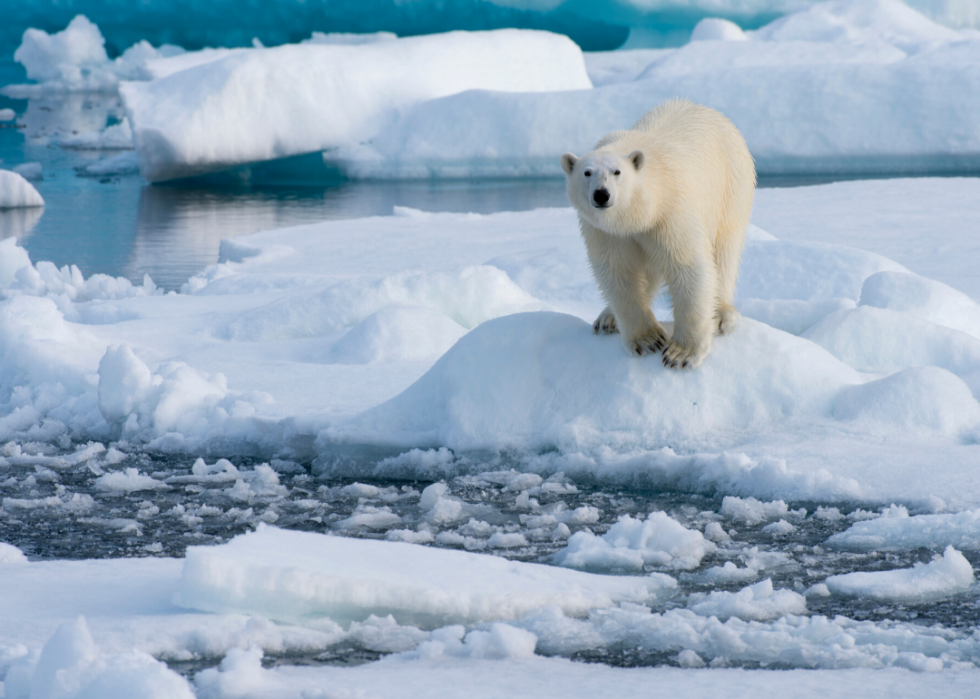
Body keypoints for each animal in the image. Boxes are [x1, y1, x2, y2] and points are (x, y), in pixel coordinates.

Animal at [564, 100, 756, 372]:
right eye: (587, 173)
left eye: (617, 172)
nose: (602, 194)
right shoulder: (606, 232)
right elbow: (617, 271)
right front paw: (647, 340)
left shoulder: (670, 213)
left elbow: (688, 267)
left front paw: (681, 354)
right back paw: (607, 318)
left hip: (731, 187)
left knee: (725, 250)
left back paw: (720, 314)